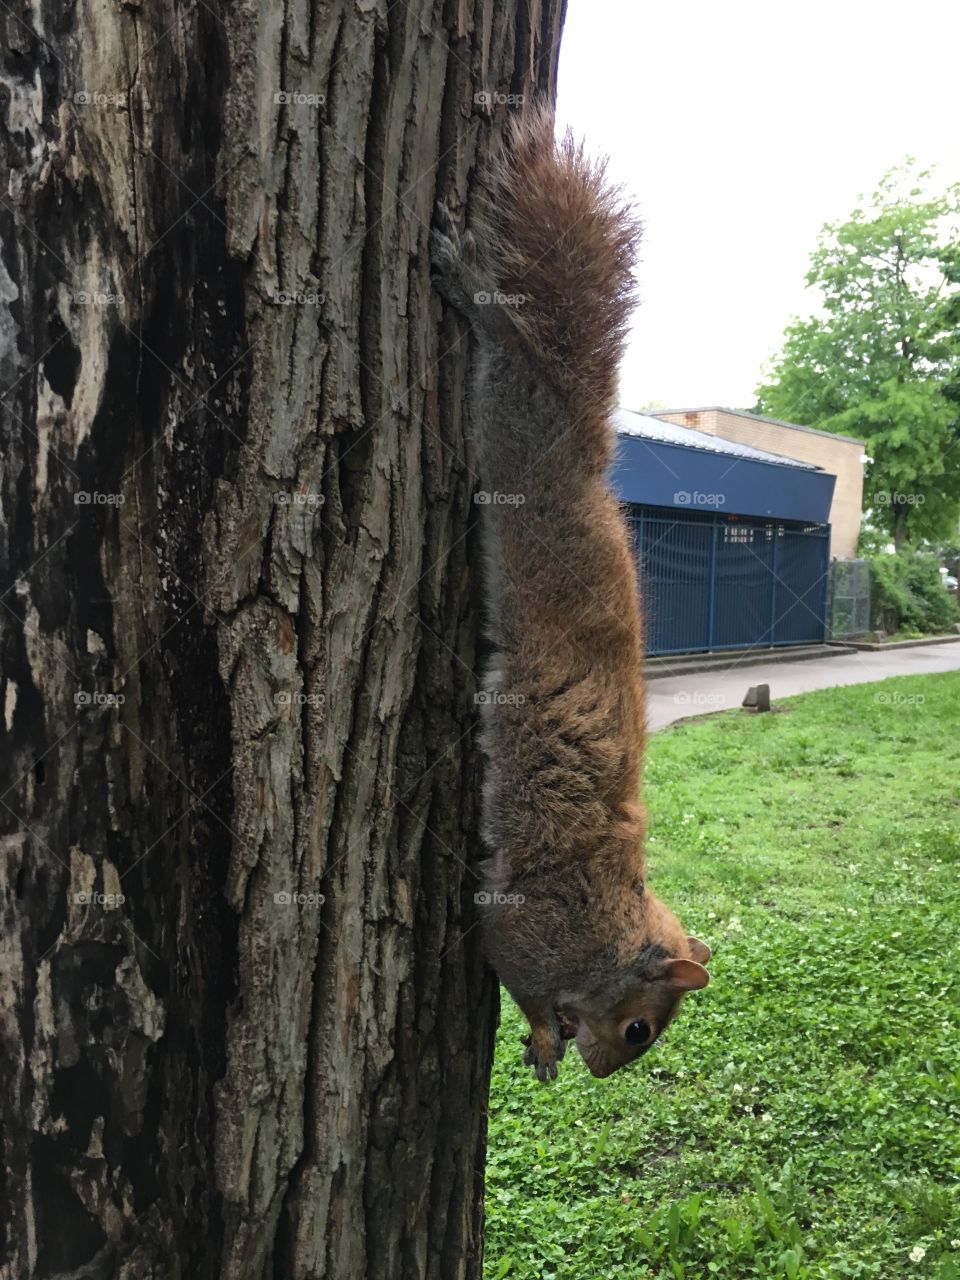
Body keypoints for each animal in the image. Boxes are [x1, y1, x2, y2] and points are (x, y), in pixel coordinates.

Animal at [432, 104, 711, 1080]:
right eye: (639, 1030)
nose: (601, 1070)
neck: (614, 920)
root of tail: (589, 469)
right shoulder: (533, 926)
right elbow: (510, 965)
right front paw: (548, 1037)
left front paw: (545, 1041)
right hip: (517, 444)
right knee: (510, 357)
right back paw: (472, 281)